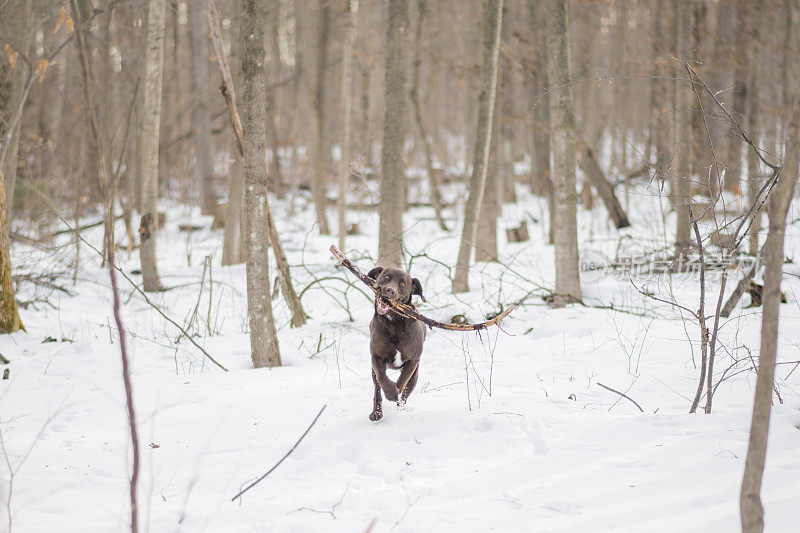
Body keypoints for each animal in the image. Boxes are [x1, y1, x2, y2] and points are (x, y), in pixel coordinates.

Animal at [368, 264, 428, 420]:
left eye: (403, 284)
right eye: (386, 277)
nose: (390, 290)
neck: (394, 323)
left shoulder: (413, 360)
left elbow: (402, 381)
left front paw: (395, 393)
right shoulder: (376, 357)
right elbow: (382, 378)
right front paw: (390, 392)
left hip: (415, 375)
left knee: (406, 391)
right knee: (377, 388)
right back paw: (376, 412)